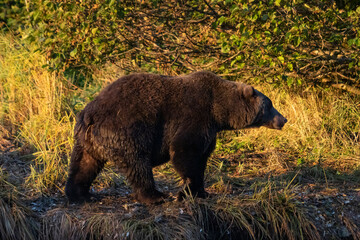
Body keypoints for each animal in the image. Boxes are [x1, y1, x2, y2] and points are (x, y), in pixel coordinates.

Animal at [65, 70, 286, 203]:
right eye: (270, 104)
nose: (283, 119)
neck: (219, 111)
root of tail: (90, 113)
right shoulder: (194, 116)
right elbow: (184, 151)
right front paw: (188, 189)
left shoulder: (210, 129)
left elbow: (202, 157)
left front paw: (201, 191)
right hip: (126, 130)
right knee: (138, 164)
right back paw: (155, 196)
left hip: (86, 139)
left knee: (84, 164)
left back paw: (78, 193)